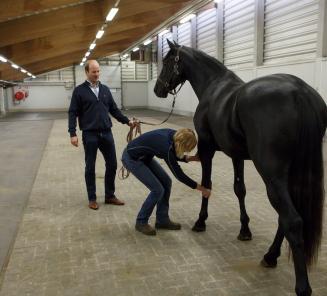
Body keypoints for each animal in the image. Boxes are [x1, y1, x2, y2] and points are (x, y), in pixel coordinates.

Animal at [155, 40, 326, 296]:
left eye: (167, 61)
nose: (158, 89)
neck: (213, 86)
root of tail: (300, 91)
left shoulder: (207, 148)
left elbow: (207, 184)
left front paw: (200, 222)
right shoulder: (236, 155)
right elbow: (239, 190)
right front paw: (245, 230)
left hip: (272, 175)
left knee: (292, 220)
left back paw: (301, 286)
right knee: (284, 218)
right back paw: (270, 256)